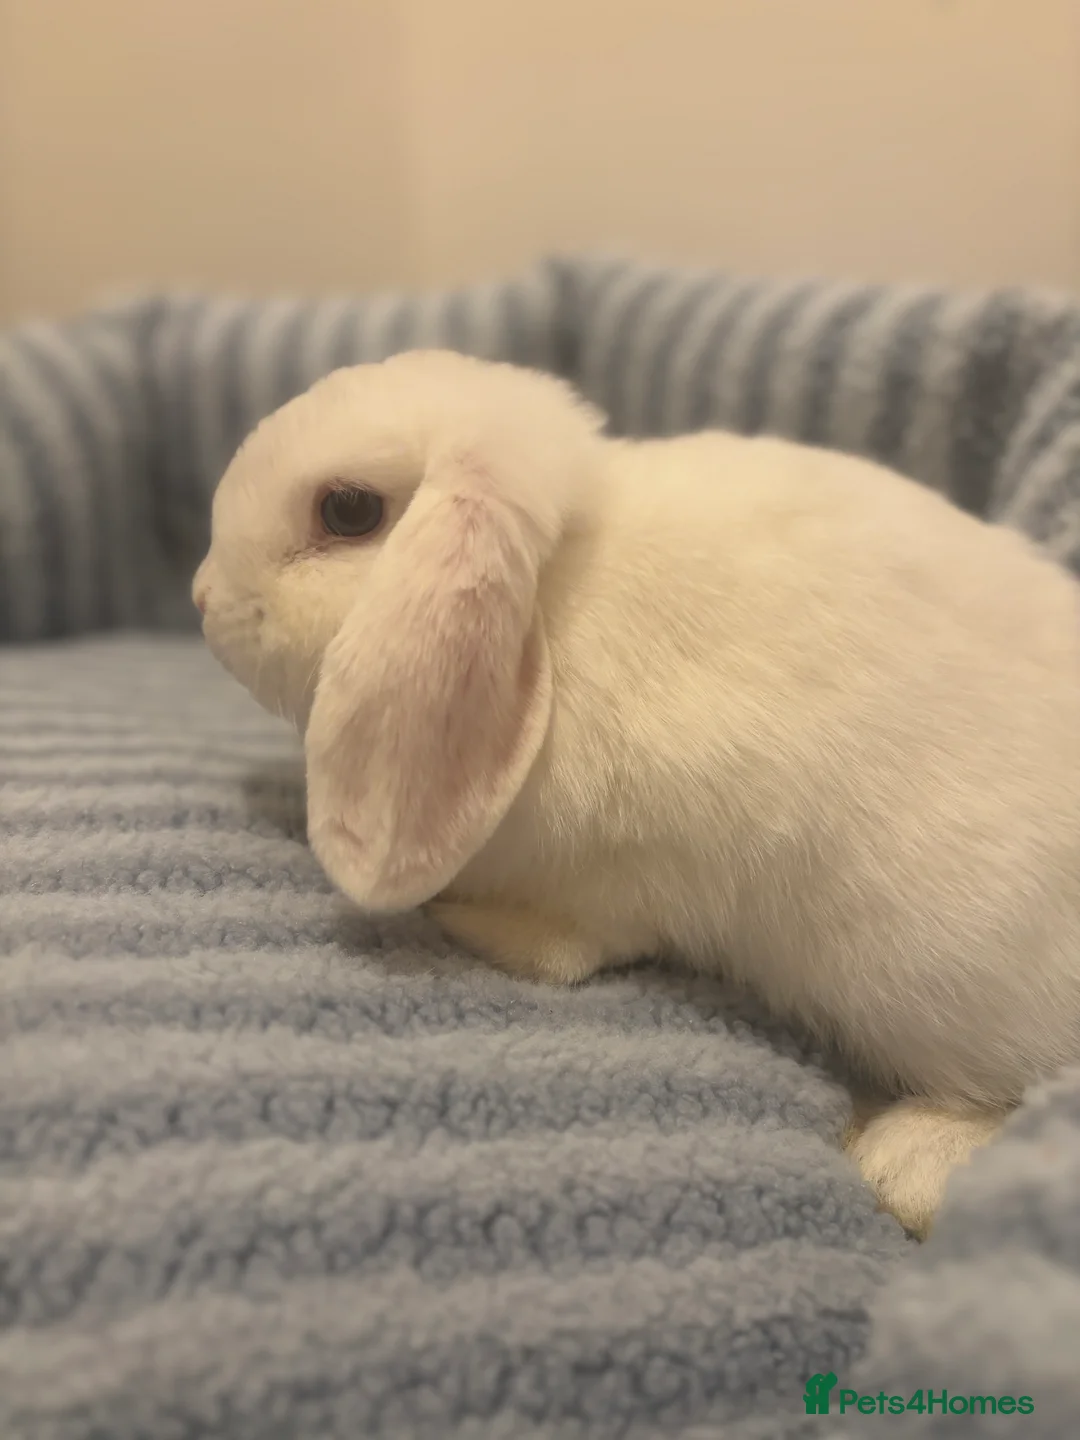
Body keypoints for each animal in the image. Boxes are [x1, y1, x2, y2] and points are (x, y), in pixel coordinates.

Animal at [193, 348, 1080, 1238]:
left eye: (347, 510)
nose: (202, 600)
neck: (554, 597)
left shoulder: (622, 877)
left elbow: (566, 952)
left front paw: (462, 920)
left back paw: (903, 1161)